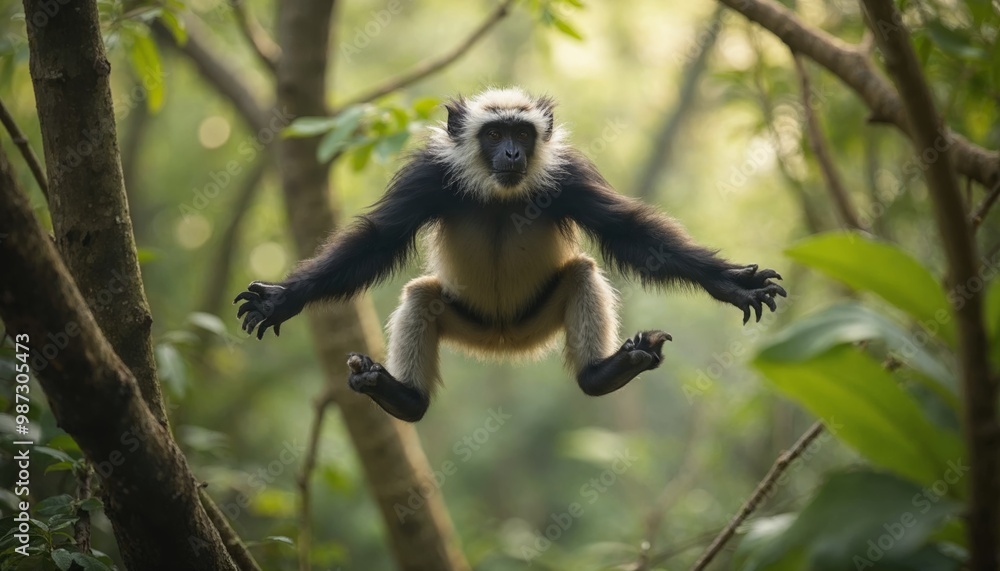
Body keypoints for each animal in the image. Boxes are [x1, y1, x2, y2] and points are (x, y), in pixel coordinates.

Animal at [234, 87, 786, 422]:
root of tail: (503, 340)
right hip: (471, 319)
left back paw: (603, 373)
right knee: (420, 293)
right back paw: (402, 397)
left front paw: (732, 283)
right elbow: (377, 240)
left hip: (535, 318)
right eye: (494, 134)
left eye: (522, 133)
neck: (500, 195)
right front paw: (282, 299)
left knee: (582, 271)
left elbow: (631, 233)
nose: (513, 154)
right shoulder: (428, 175)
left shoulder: (569, 175)